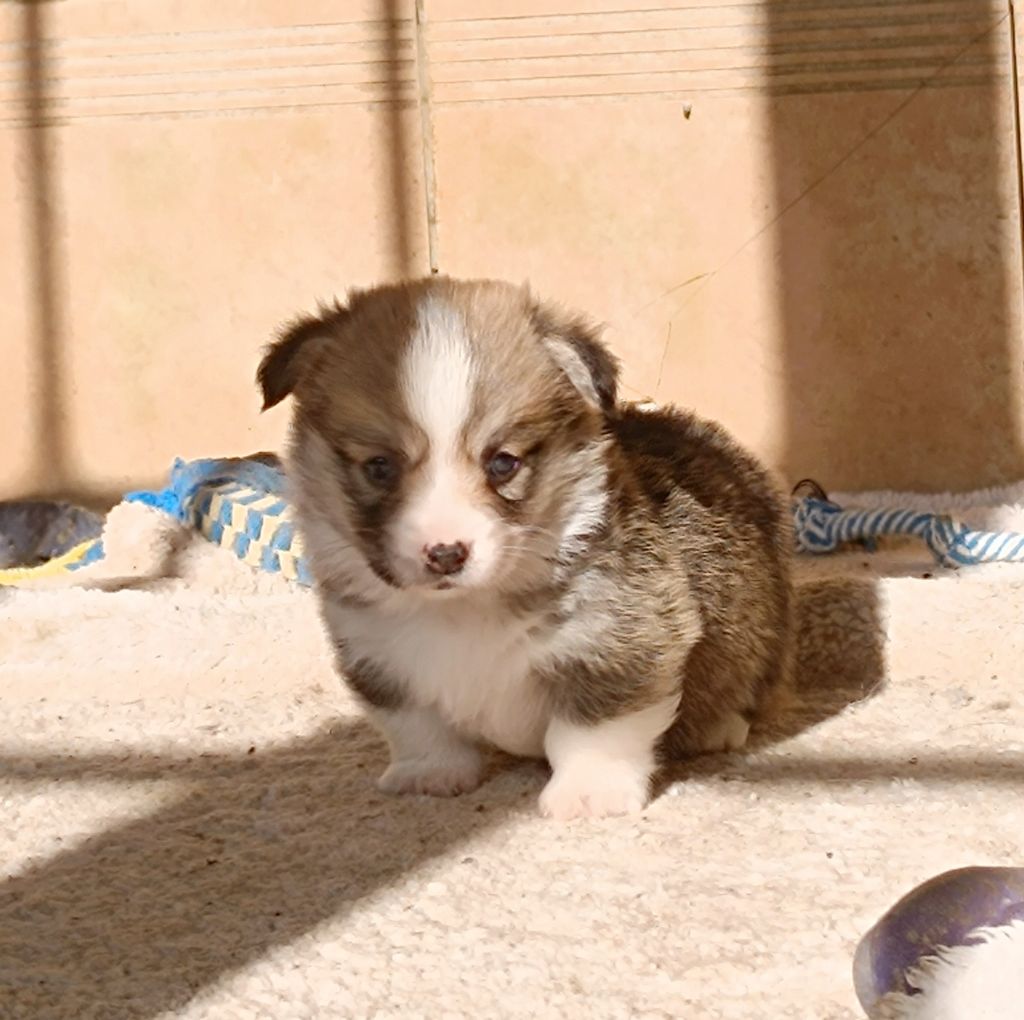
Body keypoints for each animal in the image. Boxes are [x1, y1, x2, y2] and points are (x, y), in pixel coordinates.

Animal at [256, 274, 790, 815]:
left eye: (503, 463)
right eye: (379, 467)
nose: (445, 554)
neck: (462, 611)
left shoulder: (620, 642)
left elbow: (592, 729)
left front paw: (589, 794)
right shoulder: (379, 658)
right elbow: (419, 728)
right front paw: (429, 775)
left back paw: (719, 726)